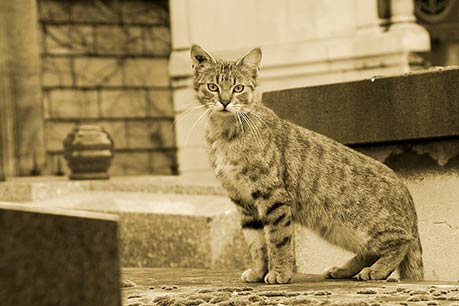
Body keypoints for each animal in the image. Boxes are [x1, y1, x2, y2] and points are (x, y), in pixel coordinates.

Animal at [190, 43, 424, 284]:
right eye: (213, 86)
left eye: (238, 88)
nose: (225, 101)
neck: (225, 133)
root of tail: (406, 192)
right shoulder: (243, 201)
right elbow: (256, 244)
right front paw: (258, 272)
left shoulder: (272, 196)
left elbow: (277, 240)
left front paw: (279, 273)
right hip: (339, 230)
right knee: (370, 252)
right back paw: (343, 270)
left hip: (363, 226)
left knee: (401, 241)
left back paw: (376, 270)